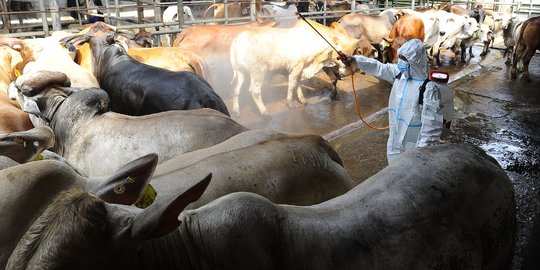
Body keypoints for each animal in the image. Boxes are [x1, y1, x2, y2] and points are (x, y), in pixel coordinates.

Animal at [230, 18, 360, 116]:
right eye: (339, 52)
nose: (348, 64)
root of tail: (238, 40)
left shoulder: (299, 70)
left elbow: (297, 84)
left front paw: (303, 100)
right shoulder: (296, 68)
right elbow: (292, 85)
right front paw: (291, 103)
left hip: (239, 71)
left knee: (236, 89)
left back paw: (236, 110)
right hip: (258, 72)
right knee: (254, 91)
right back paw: (264, 112)